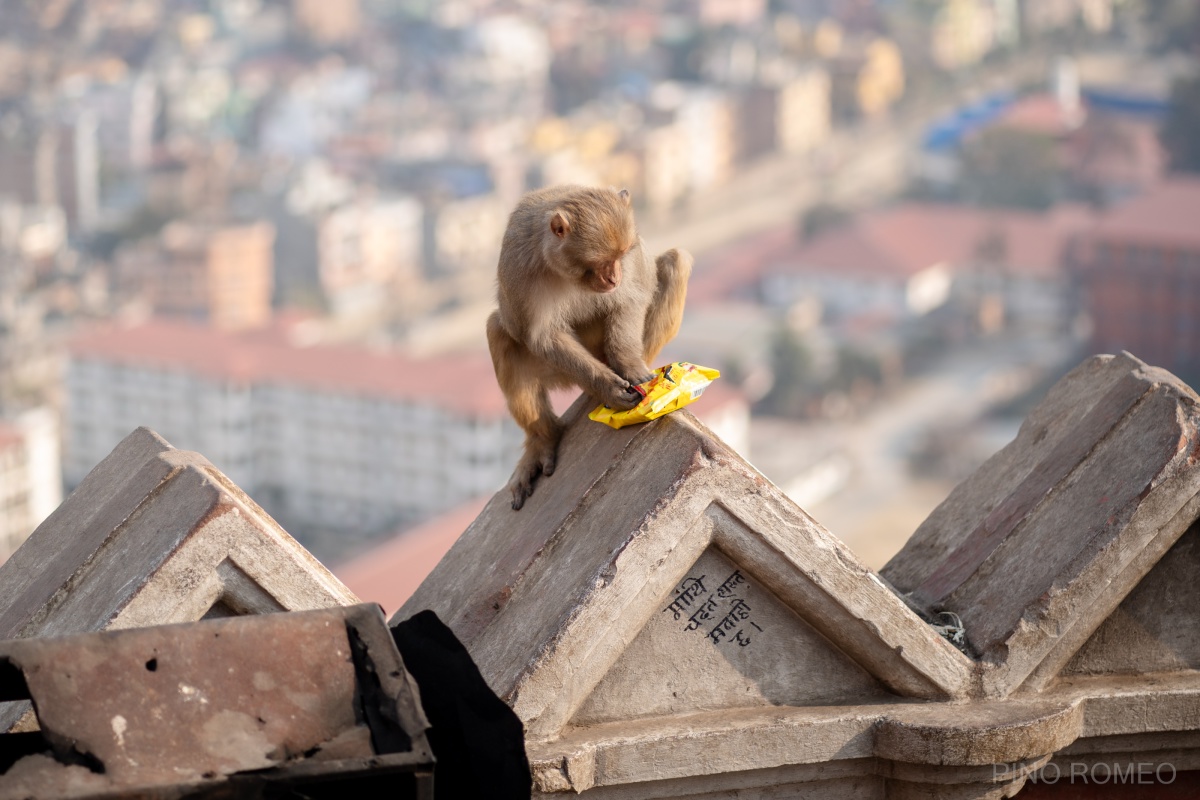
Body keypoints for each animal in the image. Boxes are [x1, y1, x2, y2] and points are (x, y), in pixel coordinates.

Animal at [487, 185, 696, 510]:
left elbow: (630, 298)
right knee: (498, 331)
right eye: (600, 262)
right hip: (560, 372)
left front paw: (629, 365)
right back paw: (543, 439)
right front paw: (608, 387)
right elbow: (544, 337)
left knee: (676, 261)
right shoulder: (519, 267)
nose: (614, 277)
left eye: (620, 256)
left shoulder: (631, 263)